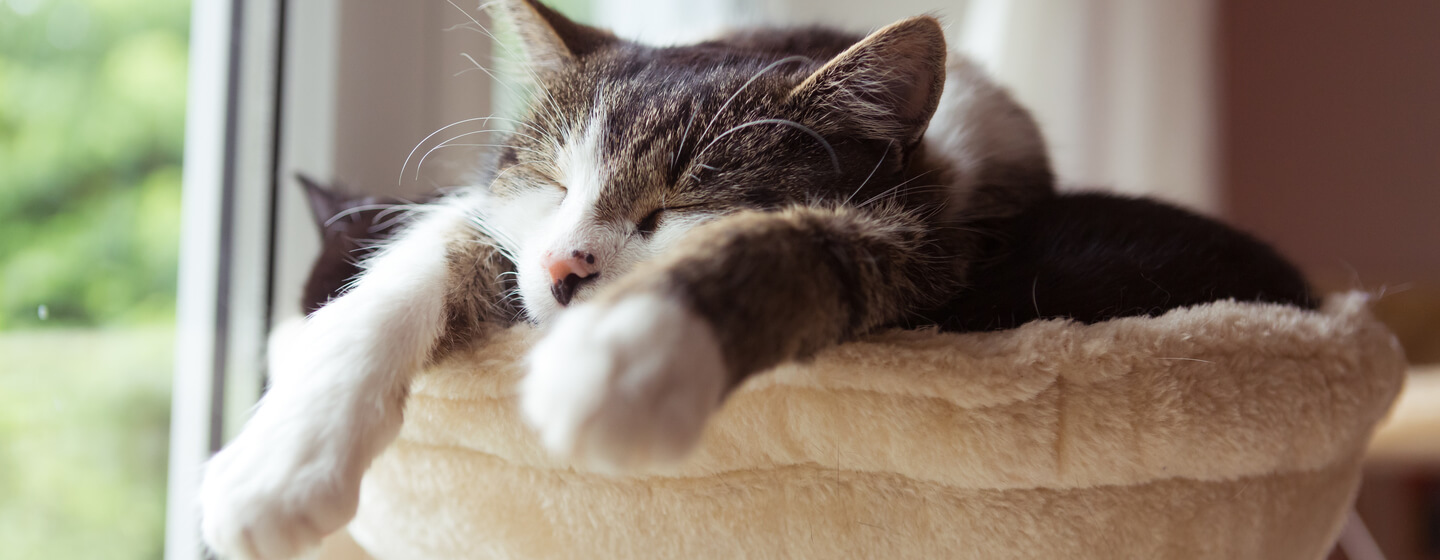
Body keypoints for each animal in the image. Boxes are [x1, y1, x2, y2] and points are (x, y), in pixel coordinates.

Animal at [200, 2, 1319, 555]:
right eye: (555, 179)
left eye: (680, 206)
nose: (566, 268)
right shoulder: (493, 223)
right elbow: (432, 250)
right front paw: (278, 466)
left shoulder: (923, 243)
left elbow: (802, 250)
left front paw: (628, 357)